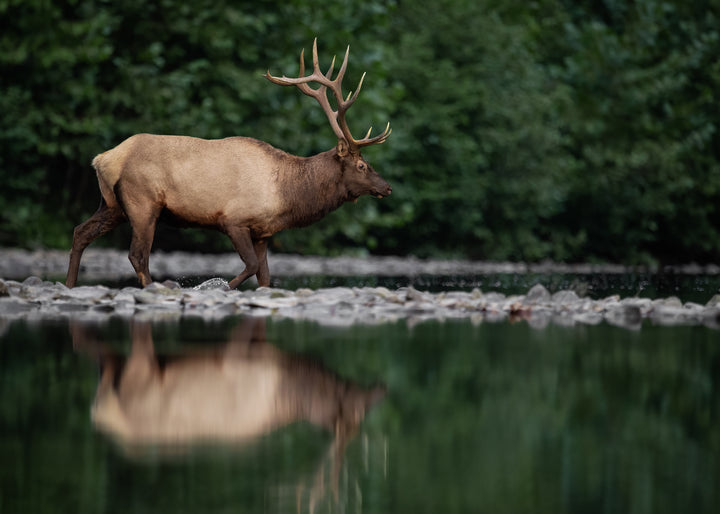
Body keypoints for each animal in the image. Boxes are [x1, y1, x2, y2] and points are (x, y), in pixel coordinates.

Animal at [65, 39, 392, 289]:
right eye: (362, 166)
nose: (387, 187)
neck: (287, 194)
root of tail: (104, 159)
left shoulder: (263, 233)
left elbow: (265, 277)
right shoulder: (233, 219)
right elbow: (250, 267)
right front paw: (215, 286)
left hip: (113, 205)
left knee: (80, 232)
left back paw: (70, 285)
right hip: (143, 202)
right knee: (137, 255)